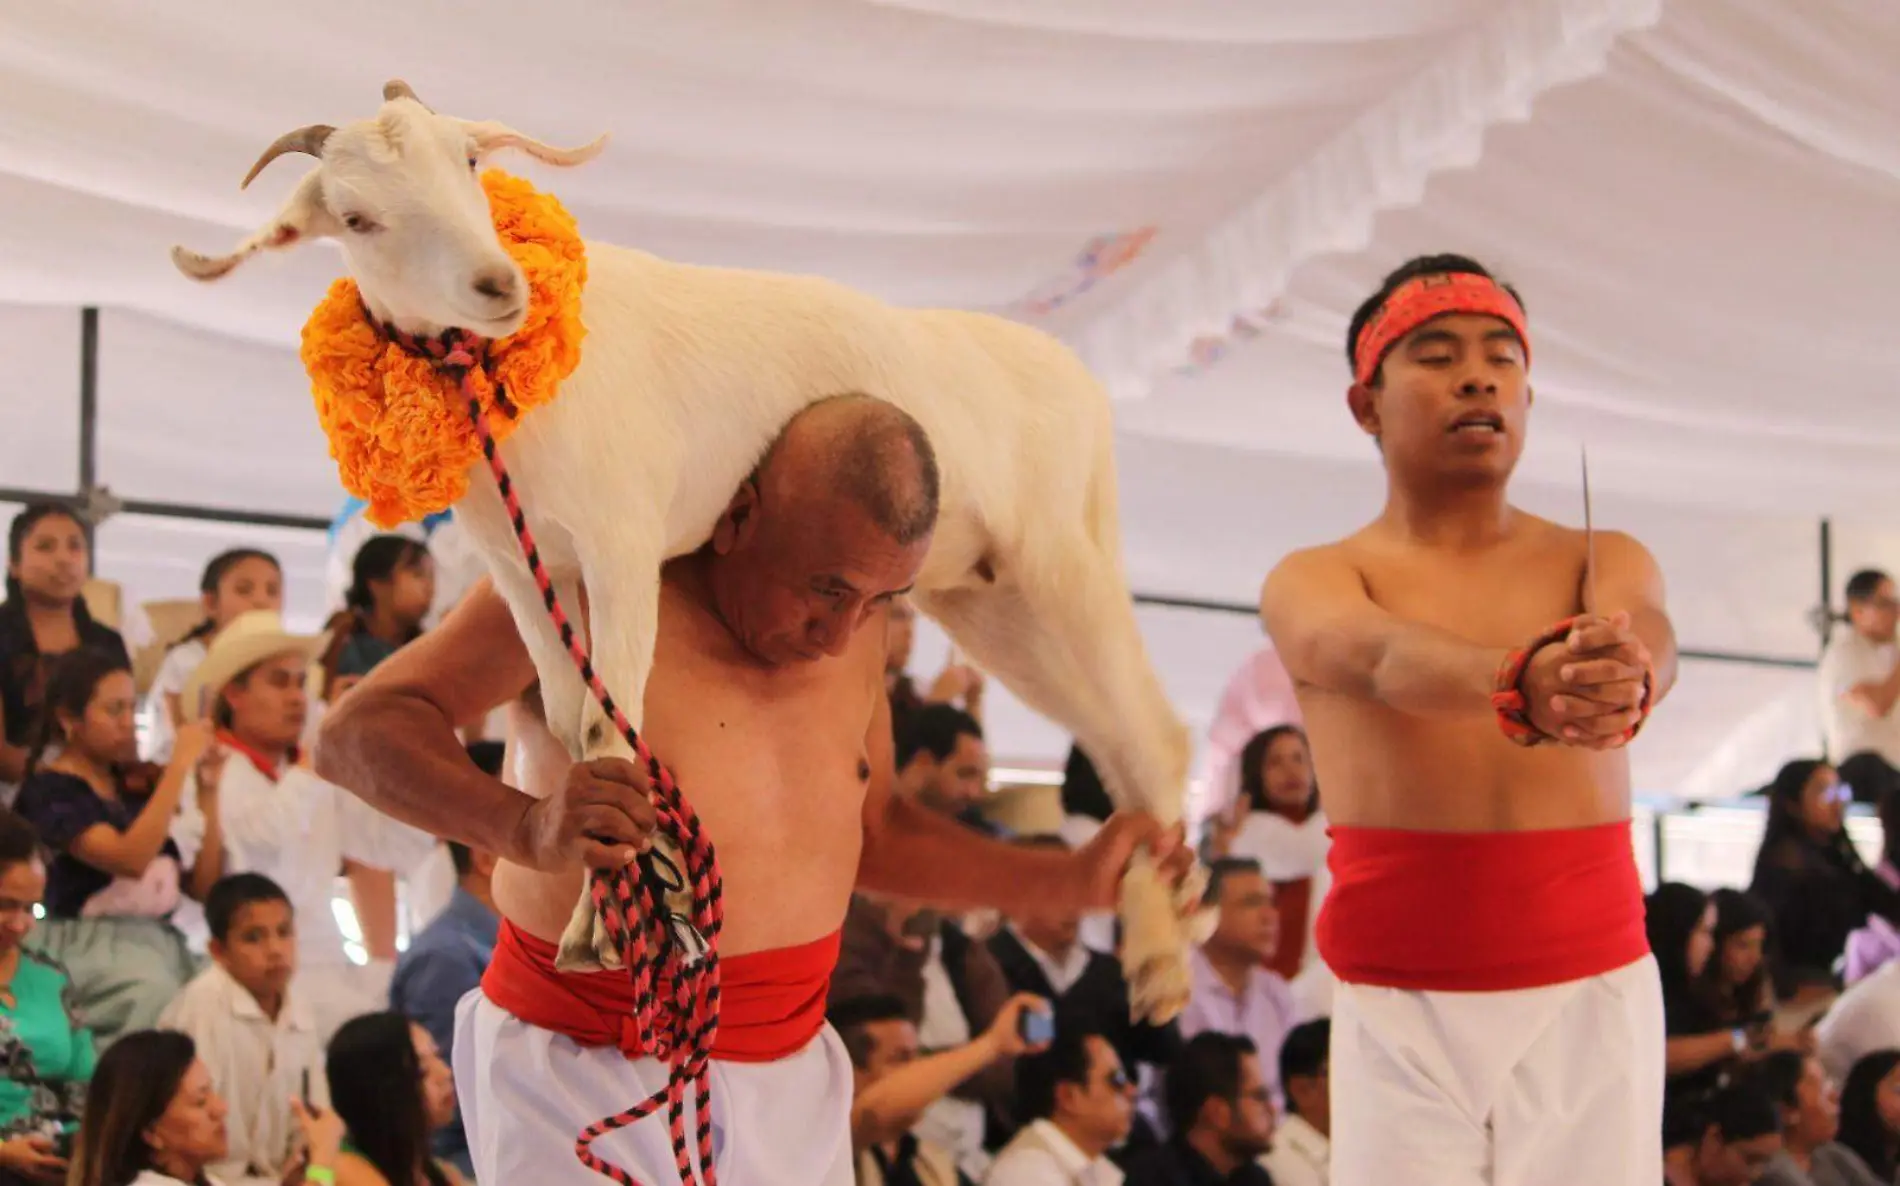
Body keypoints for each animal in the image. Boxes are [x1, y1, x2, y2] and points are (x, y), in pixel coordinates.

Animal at [171, 81, 1193, 1018]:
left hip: (1061, 558)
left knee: (1156, 732)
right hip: (990, 596)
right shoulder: (522, 566)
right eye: (357, 217)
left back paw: (1166, 963)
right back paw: (1155, 926)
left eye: (467, 159)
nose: (499, 286)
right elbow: (564, 718)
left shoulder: (623, 542)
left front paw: (599, 929)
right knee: (1119, 744)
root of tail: (1077, 381)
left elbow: (604, 724)